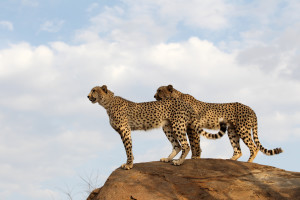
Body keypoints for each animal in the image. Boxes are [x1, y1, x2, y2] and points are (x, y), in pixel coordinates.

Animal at [86, 85, 225, 170]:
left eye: (94, 90)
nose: (87, 96)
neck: (107, 103)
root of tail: (184, 102)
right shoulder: (122, 131)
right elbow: (127, 148)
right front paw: (130, 162)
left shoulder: (125, 129)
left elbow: (128, 148)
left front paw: (129, 164)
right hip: (167, 127)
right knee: (177, 145)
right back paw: (167, 159)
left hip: (177, 124)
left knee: (186, 145)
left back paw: (178, 162)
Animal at [155, 84, 284, 162]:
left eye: (159, 90)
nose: (154, 95)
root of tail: (251, 109)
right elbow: (193, 143)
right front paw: (194, 157)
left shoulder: (192, 127)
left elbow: (195, 144)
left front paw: (195, 157)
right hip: (232, 131)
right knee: (238, 150)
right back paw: (231, 160)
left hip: (243, 129)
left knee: (254, 147)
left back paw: (249, 162)